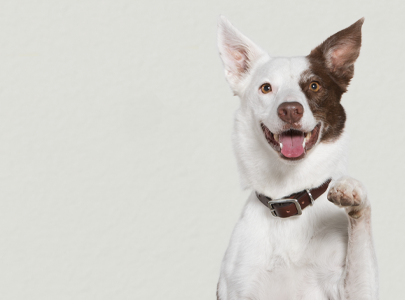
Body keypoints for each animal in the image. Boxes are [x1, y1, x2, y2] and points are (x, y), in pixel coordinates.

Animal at [216, 16, 378, 300]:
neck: (288, 193)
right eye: (266, 88)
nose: (290, 110)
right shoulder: (237, 288)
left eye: (314, 85)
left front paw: (352, 191)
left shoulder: (357, 290)